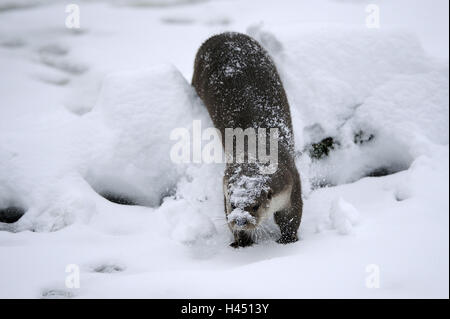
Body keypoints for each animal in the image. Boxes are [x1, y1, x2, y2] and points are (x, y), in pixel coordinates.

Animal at [191, 31, 302, 248]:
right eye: (234, 204)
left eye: (255, 206)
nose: (241, 220)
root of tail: (223, 35)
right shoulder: (225, 189)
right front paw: (241, 242)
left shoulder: (291, 182)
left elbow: (291, 215)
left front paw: (287, 239)